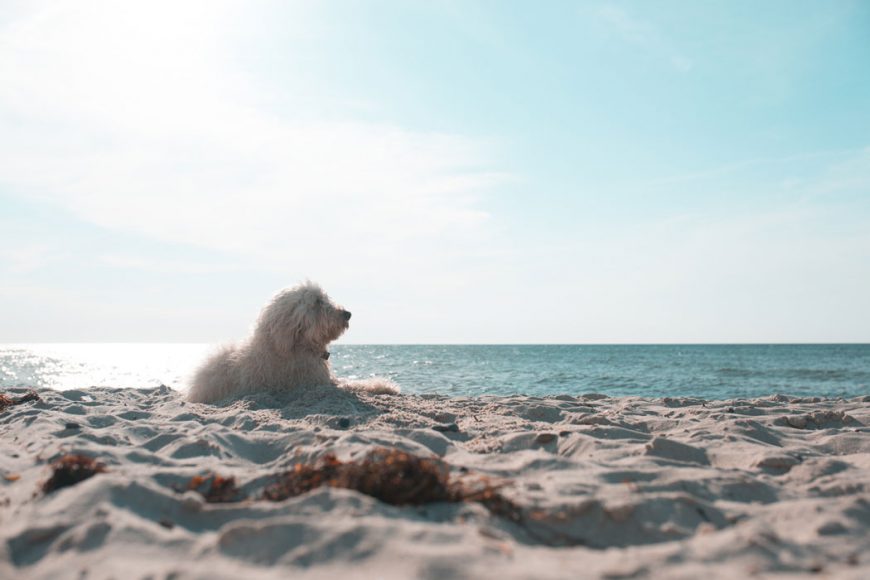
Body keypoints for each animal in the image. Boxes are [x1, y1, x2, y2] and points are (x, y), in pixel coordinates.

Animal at [189, 280, 400, 404]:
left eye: (324, 298)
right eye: (317, 302)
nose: (347, 314)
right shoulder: (315, 381)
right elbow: (354, 385)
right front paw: (384, 385)